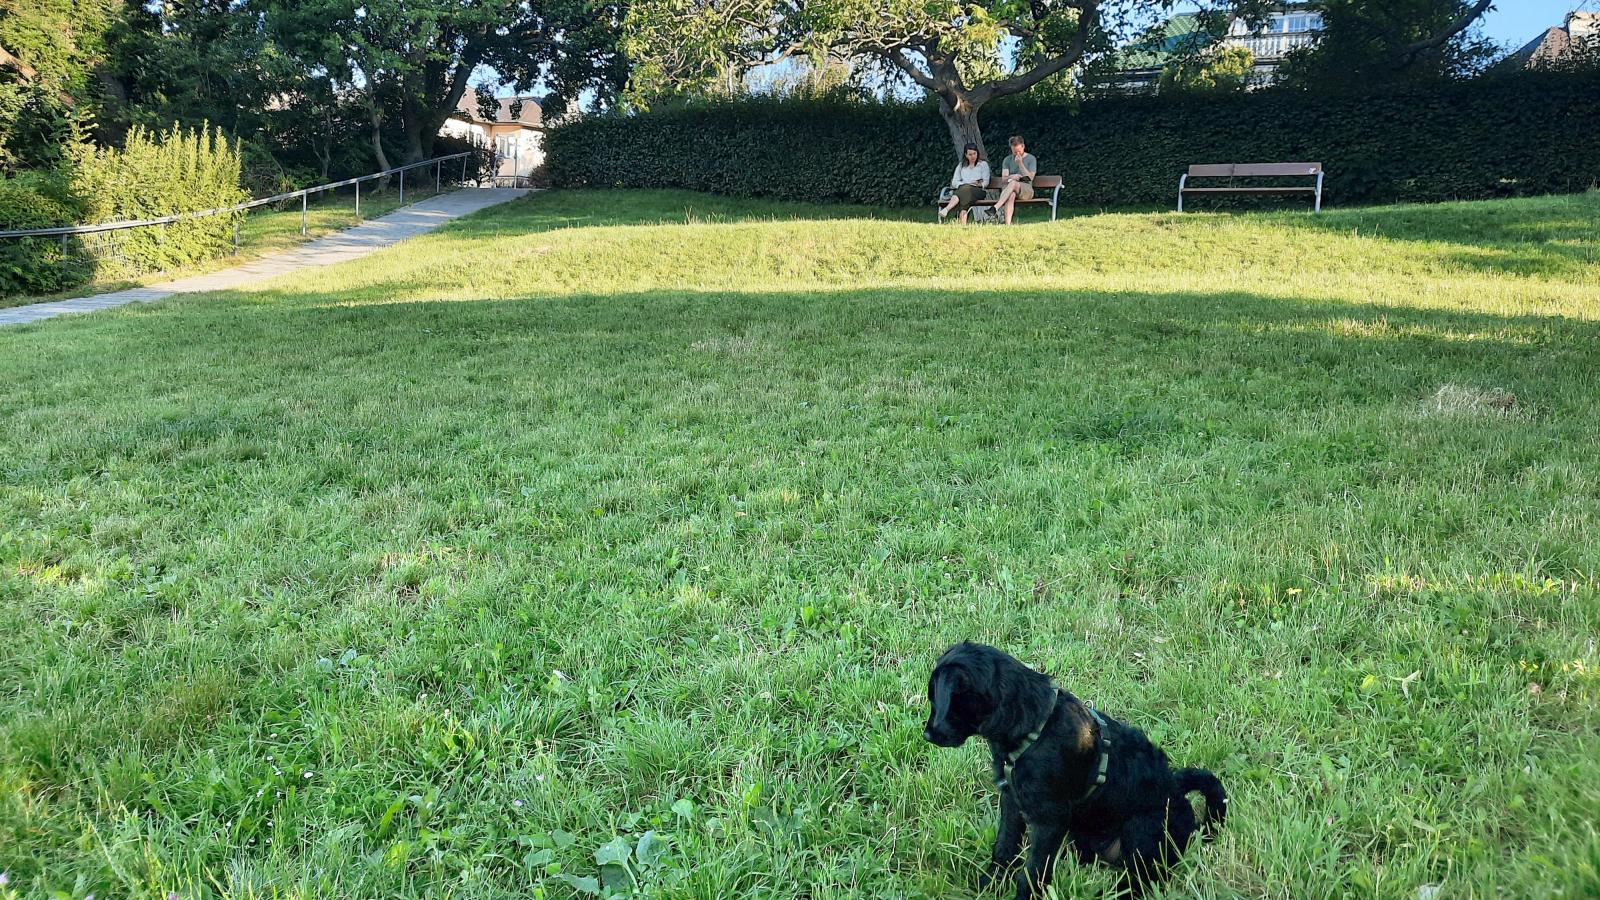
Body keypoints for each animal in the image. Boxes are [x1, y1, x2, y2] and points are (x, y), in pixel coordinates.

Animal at [928, 640, 1222, 890]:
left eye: (938, 701)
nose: (927, 734)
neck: (1035, 727)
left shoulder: (1049, 820)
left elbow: (1032, 872)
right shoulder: (1011, 802)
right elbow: (1004, 846)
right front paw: (989, 884)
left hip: (1142, 829)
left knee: (1141, 879)